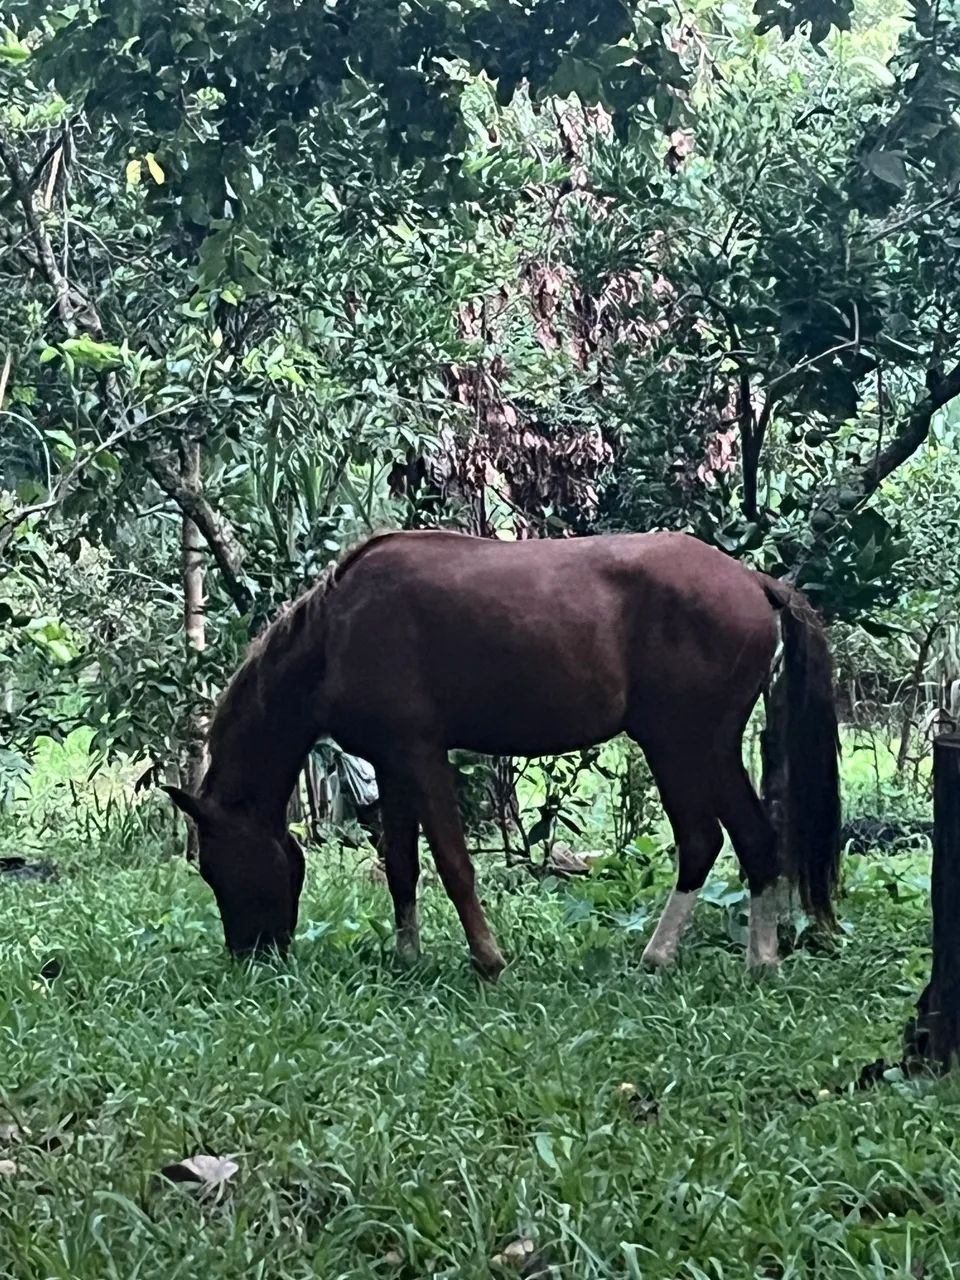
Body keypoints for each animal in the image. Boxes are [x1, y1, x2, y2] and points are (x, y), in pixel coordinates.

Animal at [163, 529, 840, 978]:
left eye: (216, 866)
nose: (251, 954)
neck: (334, 633)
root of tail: (752, 580)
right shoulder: (391, 761)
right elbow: (401, 866)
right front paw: (408, 958)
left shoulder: (421, 753)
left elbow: (454, 864)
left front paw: (488, 960)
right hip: (692, 747)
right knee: (729, 842)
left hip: (689, 744)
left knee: (730, 840)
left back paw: (727, 959)